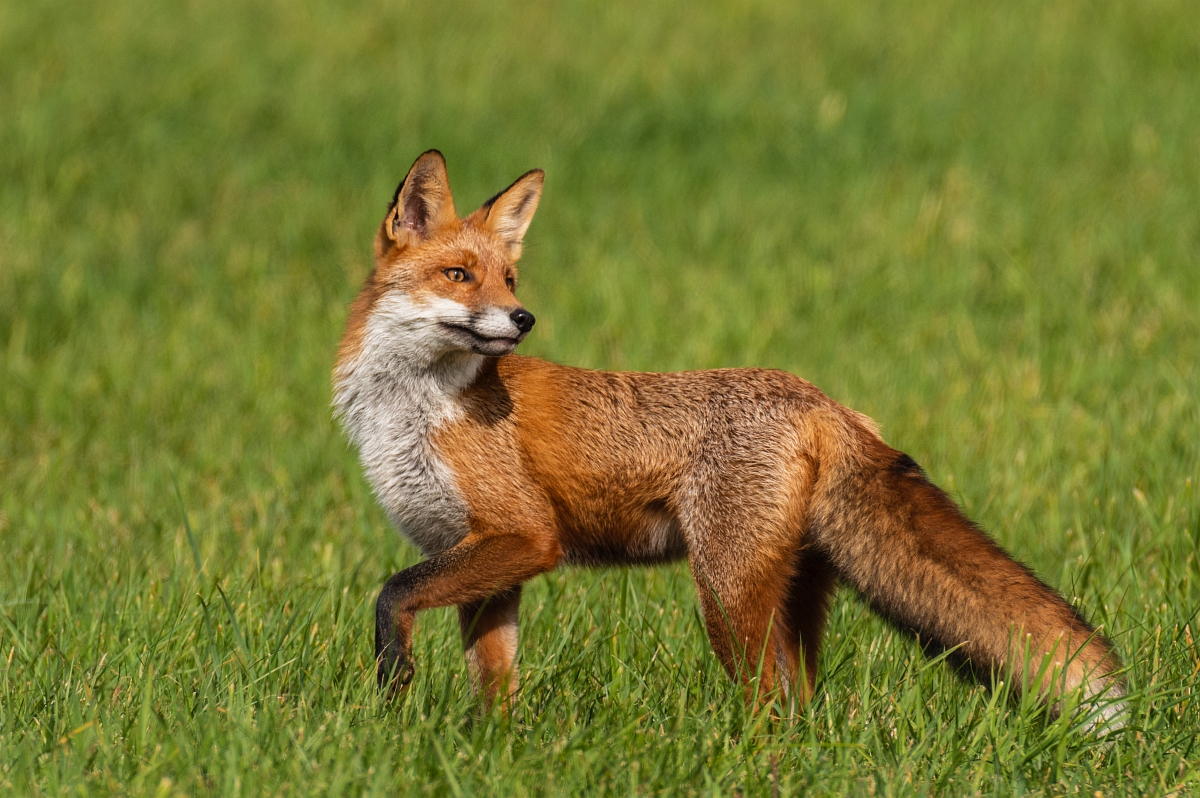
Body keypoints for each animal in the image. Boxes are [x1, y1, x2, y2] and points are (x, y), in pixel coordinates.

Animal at [336, 151, 1123, 729]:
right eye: (459, 275)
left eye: (508, 278)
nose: (523, 318)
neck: (412, 411)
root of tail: (824, 401)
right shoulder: (483, 560)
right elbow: (495, 687)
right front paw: (489, 750)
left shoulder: (524, 535)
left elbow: (391, 595)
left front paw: (394, 688)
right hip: (790, 595)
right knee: (804, 708)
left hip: (724, 593)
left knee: (769, 707)